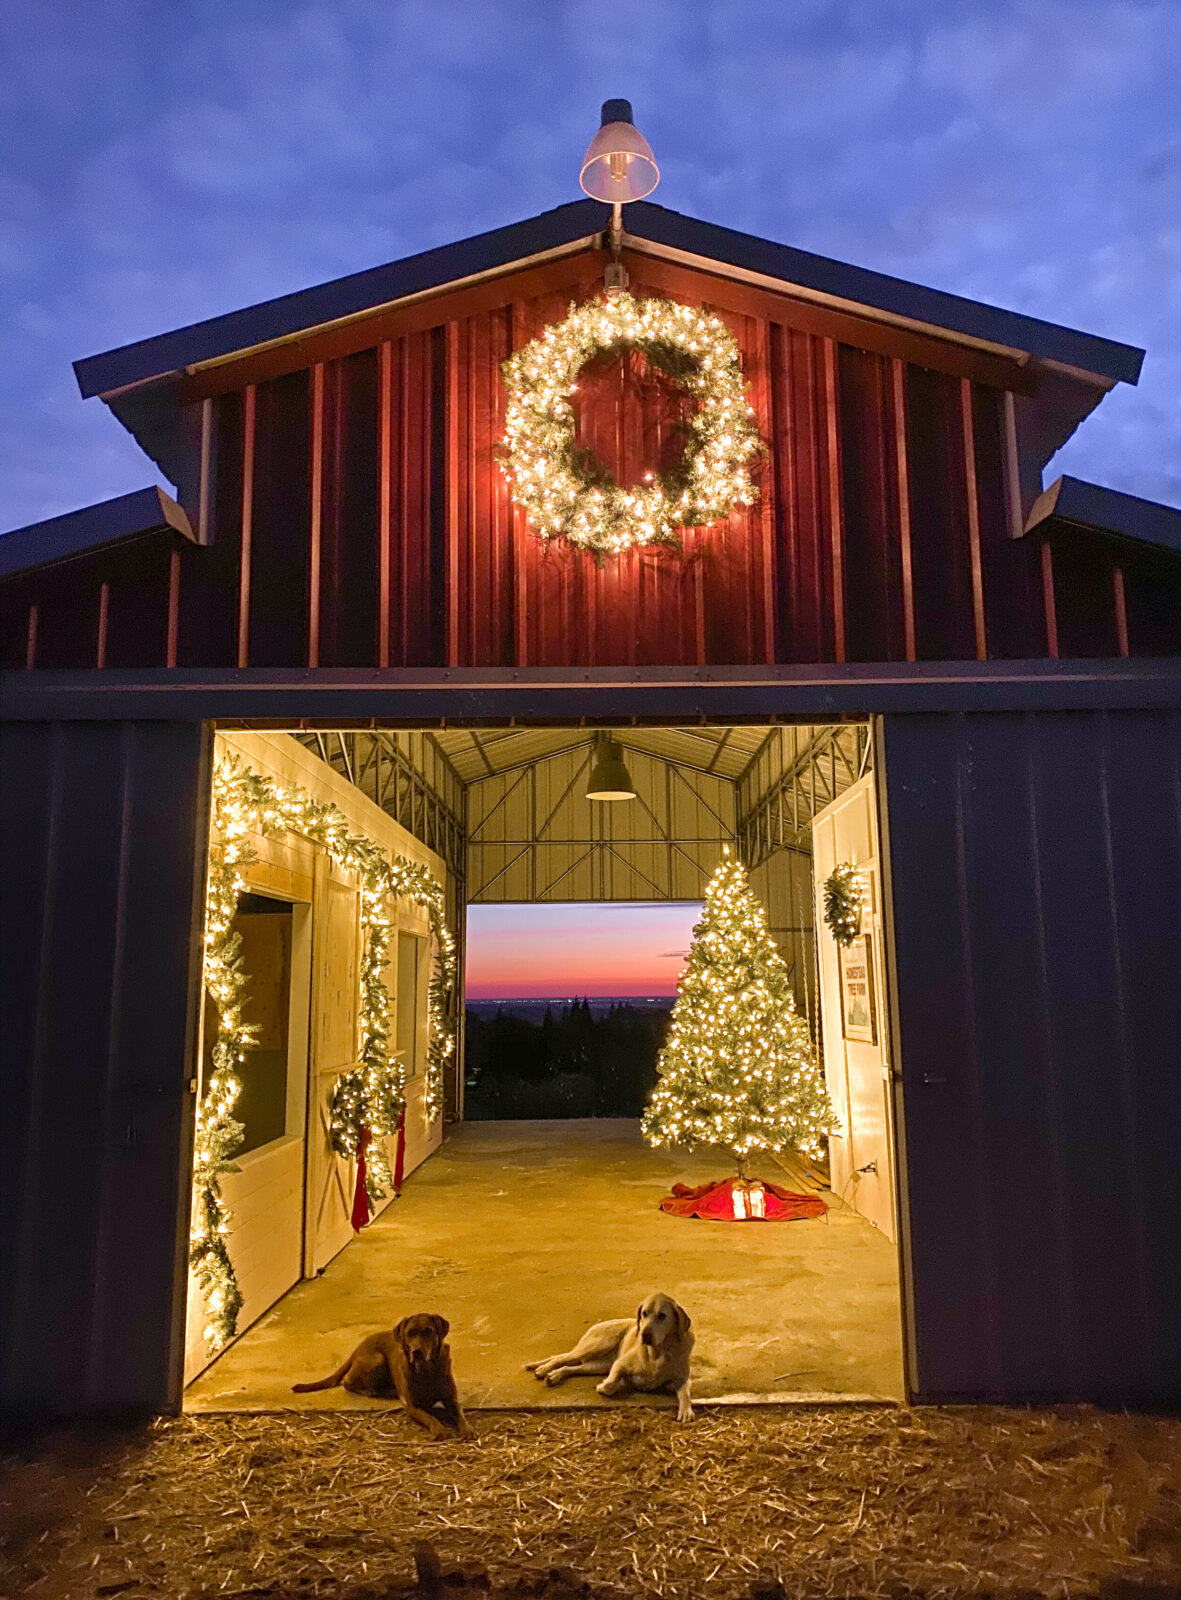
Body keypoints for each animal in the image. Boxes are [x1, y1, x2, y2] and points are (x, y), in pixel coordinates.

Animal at [289, 1318, 470, 1446]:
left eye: (429, 1331)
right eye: (410, 1333)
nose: (416, 1351)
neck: (427, 1370)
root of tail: (357, 1348)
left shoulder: (451, 1399)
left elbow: (460, 1413)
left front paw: (467, 1428)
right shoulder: (413, 1407)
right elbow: (429, 1417)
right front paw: (439, 1428)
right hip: (377, 1359)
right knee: (348, 1382)